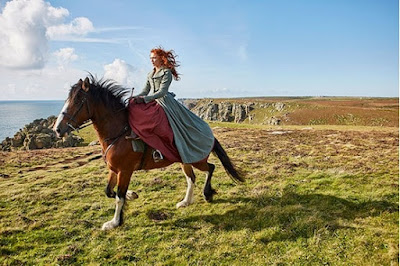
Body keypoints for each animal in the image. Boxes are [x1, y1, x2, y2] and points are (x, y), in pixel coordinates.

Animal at [53, 76, 244, 230]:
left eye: (78, 100)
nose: (57, 129)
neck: (119, 132)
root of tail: (209, 132)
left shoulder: (125, 171)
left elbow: (119, 196)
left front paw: (114, 222)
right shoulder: (114, 170)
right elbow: (109, 191)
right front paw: (132, 195)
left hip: (197, 159)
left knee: (210, 168)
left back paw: (207, 194)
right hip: (185, 160)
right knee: (192, 178)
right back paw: (186, 201)